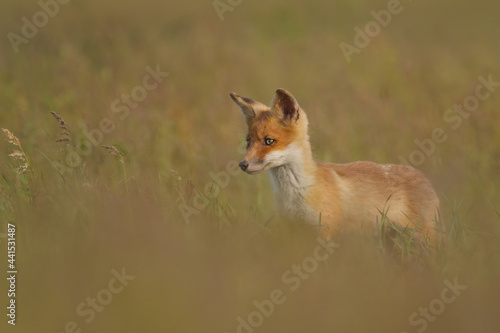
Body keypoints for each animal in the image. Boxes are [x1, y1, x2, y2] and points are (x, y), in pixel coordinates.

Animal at [229, 88, 440, 244]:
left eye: (269, 141)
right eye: (248, 141)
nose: (242, 164)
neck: (294, 193)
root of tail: (424, 177)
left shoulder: (325, 230)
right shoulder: (293, 231)